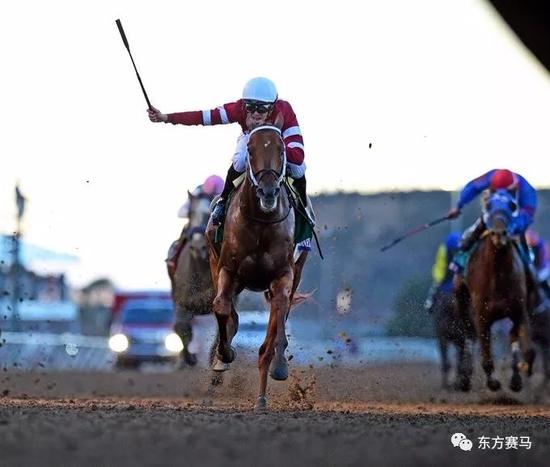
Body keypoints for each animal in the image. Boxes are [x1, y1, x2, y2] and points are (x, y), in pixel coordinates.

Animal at [207, 123, 310, 410]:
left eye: (281, 149)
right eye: (251, 151)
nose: (268, 191)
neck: (261, 225)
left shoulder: (283, 275)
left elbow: (278, 318)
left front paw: (278, 367)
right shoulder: (228, 270)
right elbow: (221, 306)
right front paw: (224, 354)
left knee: (279, 317)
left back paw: (264, 391)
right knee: (228, 310)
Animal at [454, 189, 536, 392]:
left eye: (513, 205)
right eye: (488, 205)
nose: (500, 233)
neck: (498, 276)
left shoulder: (519, 310)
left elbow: (526, 347)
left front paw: (520, 374)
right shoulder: (481, 315)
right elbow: (485, 354)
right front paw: (492, 382)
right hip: (462, 302)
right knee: (468, 335)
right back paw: (465, 378)